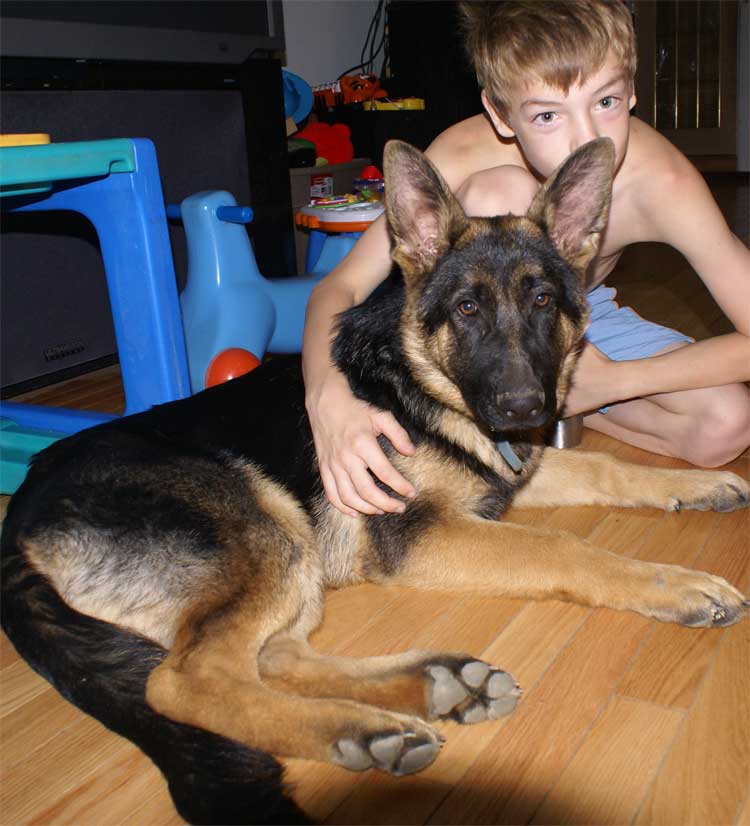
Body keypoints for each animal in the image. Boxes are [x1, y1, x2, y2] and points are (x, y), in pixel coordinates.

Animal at [2, 138, 748, 820]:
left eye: (542, 300)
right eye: (467, 310)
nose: (523, 409)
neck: (417, 380)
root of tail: (21, 512)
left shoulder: (510, 475)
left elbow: (605, 466)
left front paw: (700, 487)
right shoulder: (421, 533)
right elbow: (562, 549)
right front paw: (671, 584)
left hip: (287, 557)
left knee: (269, 659)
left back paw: (430, 686)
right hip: (267, 524)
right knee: (185, 681)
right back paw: (355, 730)